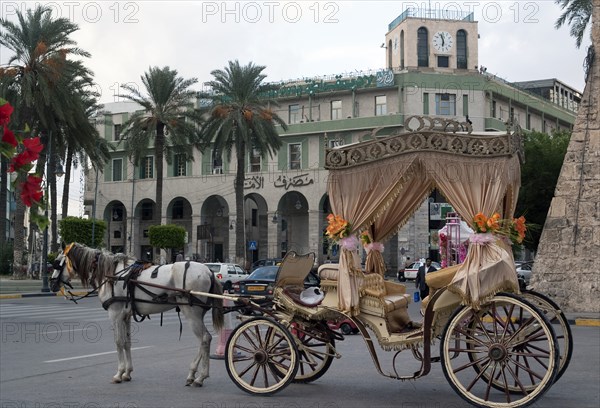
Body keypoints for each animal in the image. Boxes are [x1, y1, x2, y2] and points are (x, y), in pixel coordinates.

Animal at [51, 244, 225, 388]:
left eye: (57, 262)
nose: (52, 284)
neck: (112, 274)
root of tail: (208, 271)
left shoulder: (115, 315)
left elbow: (118, 342)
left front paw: (119, 373)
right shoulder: (126, 316)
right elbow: (127, 343)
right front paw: (127, 373)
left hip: (191, 312)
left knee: (204, 339)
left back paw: (200, 377)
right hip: (197, 313)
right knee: (203, 340)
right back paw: (192, 374)